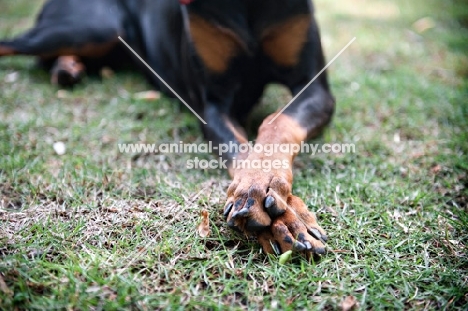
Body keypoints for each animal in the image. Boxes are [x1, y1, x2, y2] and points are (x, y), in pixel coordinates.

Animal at [1, 0, 334, 258]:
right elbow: (242, 150)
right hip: (92, 26)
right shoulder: (214, 104)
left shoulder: (315, 88)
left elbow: (278, 122)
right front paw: (280, 215)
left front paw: (274, 199)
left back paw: (67, 68)